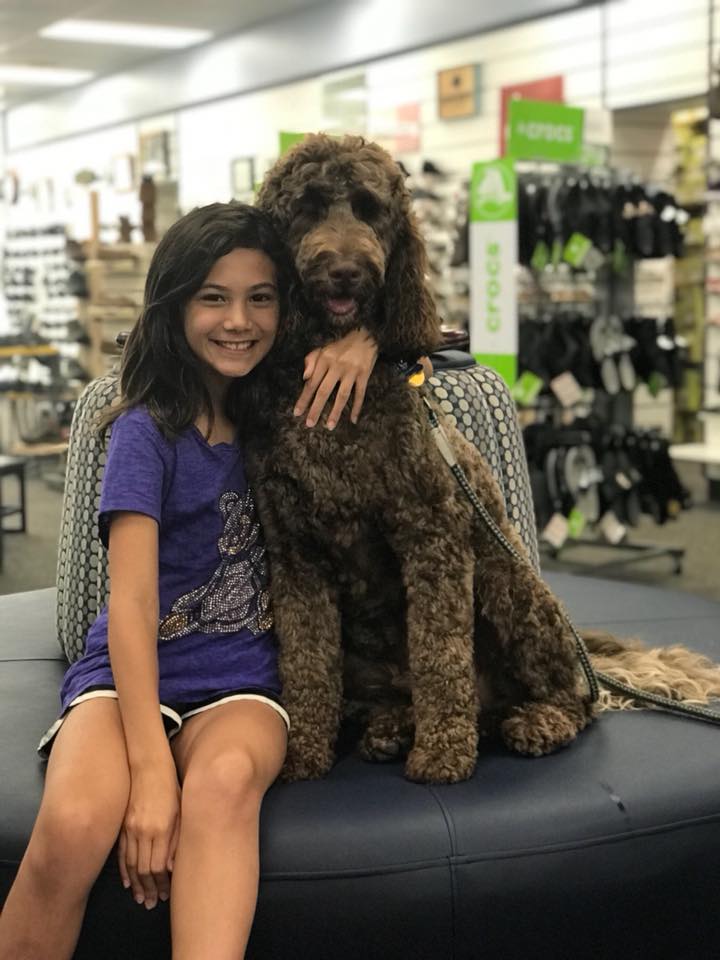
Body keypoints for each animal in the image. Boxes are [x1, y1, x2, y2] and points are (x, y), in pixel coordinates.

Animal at [247, 133, 719, 784]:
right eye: (309, 207)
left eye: (370, 209)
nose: (346, 269)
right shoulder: (295, 554)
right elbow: (306, 661)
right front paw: (302, 753)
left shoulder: (434, 532)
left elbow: (440, 652)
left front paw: (444, 752)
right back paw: (393, 727)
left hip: (507, 582)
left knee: (572, 700)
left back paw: (532, 721)